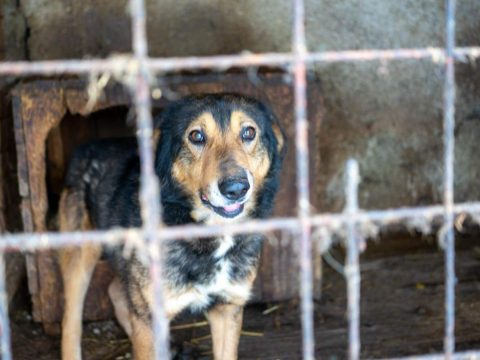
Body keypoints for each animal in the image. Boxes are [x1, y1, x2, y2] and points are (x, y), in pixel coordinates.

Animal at [57, 93, 284, 360]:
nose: (236, 188)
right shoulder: (150, 316)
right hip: (80, 256)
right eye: (196, 136)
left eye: (249, 132)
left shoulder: (227, 307)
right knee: (71, 318)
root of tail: (88, 146)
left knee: (115, 291)